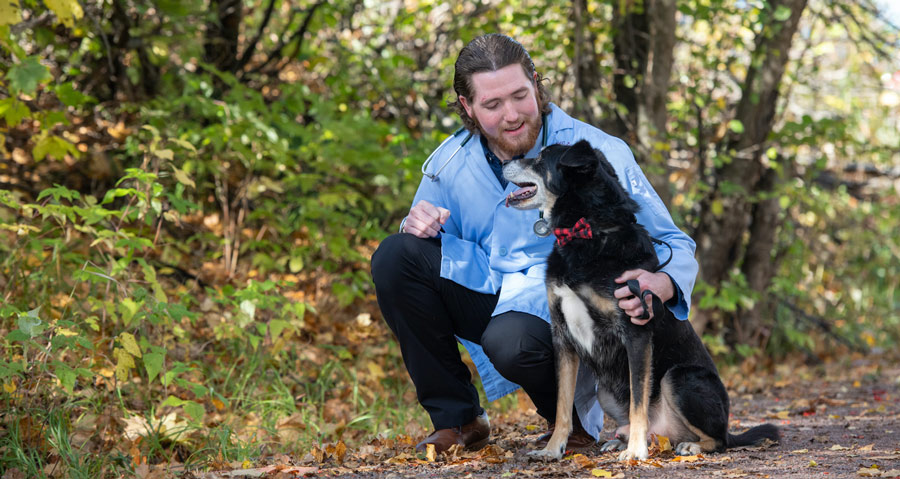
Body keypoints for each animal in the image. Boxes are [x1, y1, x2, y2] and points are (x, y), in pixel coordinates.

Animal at [502, 141, 776, 464]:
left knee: (719, 439)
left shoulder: (636, 333)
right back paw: (620, 440)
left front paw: (635, 450)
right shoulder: (563, 337)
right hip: (606, 391)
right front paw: (553, 449)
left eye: (541, 158)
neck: (588, 231)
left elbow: (637, 401)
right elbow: (562, 406)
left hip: (679, 378)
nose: (504, 161)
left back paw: (685, 446)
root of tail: (665, 434)